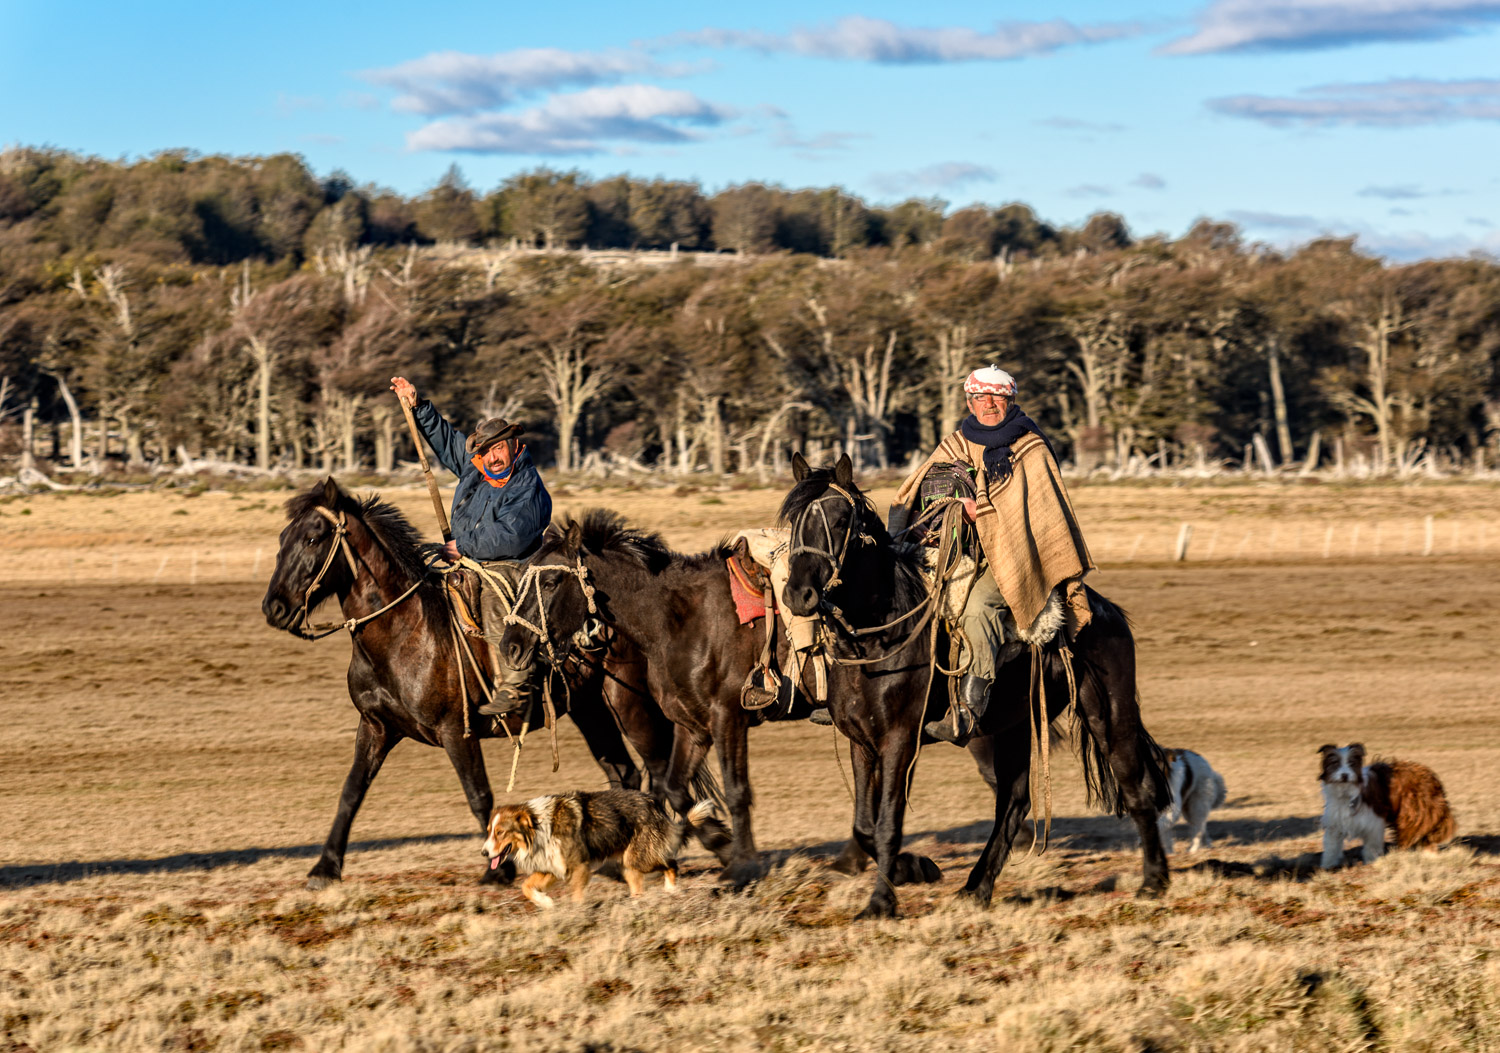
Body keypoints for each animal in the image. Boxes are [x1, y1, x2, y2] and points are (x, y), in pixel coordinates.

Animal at [261, 480, 678, 888]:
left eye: (313, 538)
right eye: (283, 536)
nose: (273, 608)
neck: (406, 631)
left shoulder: (455, 731)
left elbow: (478, 795)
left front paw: (499, 871)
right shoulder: (375, 726)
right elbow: (351, 792)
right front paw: (324, 868)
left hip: (627, 703)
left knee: (656, 767)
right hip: (590, 709)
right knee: (623, 774)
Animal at [483, 792, 723, 906]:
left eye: (500, 832)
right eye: (488, 831)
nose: (484, 853)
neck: (537, 826)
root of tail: (653, 803)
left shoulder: (578, 866)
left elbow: (577, 896)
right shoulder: (553, 867)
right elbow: (526, 886)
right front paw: (547, 904)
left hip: (640, 857)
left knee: (671, 864)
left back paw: (671, 890)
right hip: (628, 862)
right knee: (638, 885)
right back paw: (637, 904)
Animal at [780, 453, 1176, 918]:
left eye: (842, 519)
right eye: (793, 519)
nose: (799, 595)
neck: (881, 637)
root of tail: (1104, 610)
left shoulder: (900, 741)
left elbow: (887, 823)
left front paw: (881, 902)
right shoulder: (862, 742)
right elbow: (864, 825)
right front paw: (914, 869)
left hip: (1108, 713)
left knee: (1135, 784)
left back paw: (1154, 881)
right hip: (1014, 726)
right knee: (1014, 801)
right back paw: (976, 887)